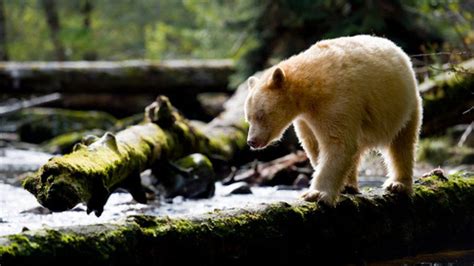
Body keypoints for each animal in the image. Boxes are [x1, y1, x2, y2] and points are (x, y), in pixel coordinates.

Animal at [244, 34, 422, 206]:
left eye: (261, 115)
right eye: (248, 118)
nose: (251, 141)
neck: (311, 87)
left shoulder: (337, 100)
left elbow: (337, 143)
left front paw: (316, 194)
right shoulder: (305, 118)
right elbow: (314, 144)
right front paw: (335, 187)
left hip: (404, 106)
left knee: (402, 144)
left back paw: (398, 184)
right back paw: (350, 185)